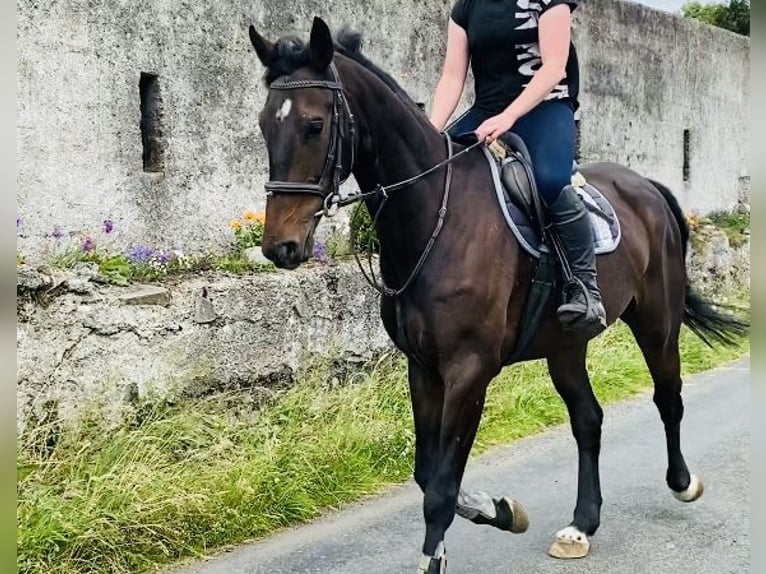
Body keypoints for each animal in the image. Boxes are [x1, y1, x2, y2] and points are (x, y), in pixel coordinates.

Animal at [248, 15, 752, 572]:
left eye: (314, 125)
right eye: (265, 125)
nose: (280, 246)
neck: (436, 217)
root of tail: (645, 186)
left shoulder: (469, 370)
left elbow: (441, 488)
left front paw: (441, 552)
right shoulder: (423, 368)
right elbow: (427, 472)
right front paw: (501, 510)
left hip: (657, 322)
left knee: (668, 397)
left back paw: (682, 483)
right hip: (566, 344)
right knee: (588, 420)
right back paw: (582, 524)